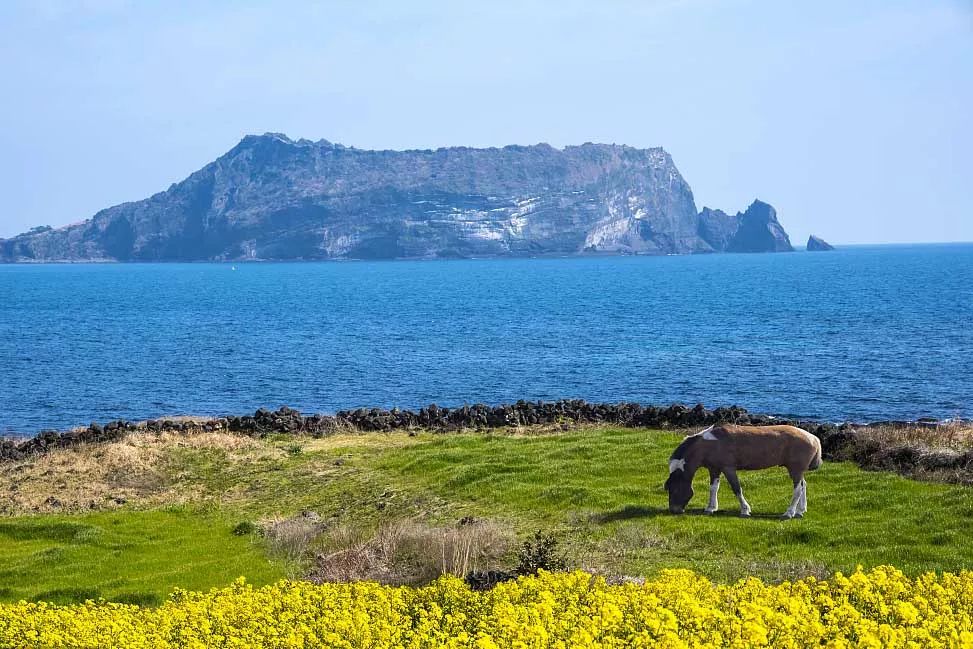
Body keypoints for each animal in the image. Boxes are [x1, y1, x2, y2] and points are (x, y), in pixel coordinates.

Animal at [664, 423, 822, 518]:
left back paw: (789, 513)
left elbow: (736, 488)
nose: (674, 510)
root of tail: (813, 438)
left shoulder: (728, 468)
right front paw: (711, 508)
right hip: (798, 471)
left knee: (797, 489)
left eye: (675, 489)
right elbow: (713, 488)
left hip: (795, 470)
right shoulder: (714, 469)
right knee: (803, 485)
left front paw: (745, 510)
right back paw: (800, 510)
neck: (709, 444)